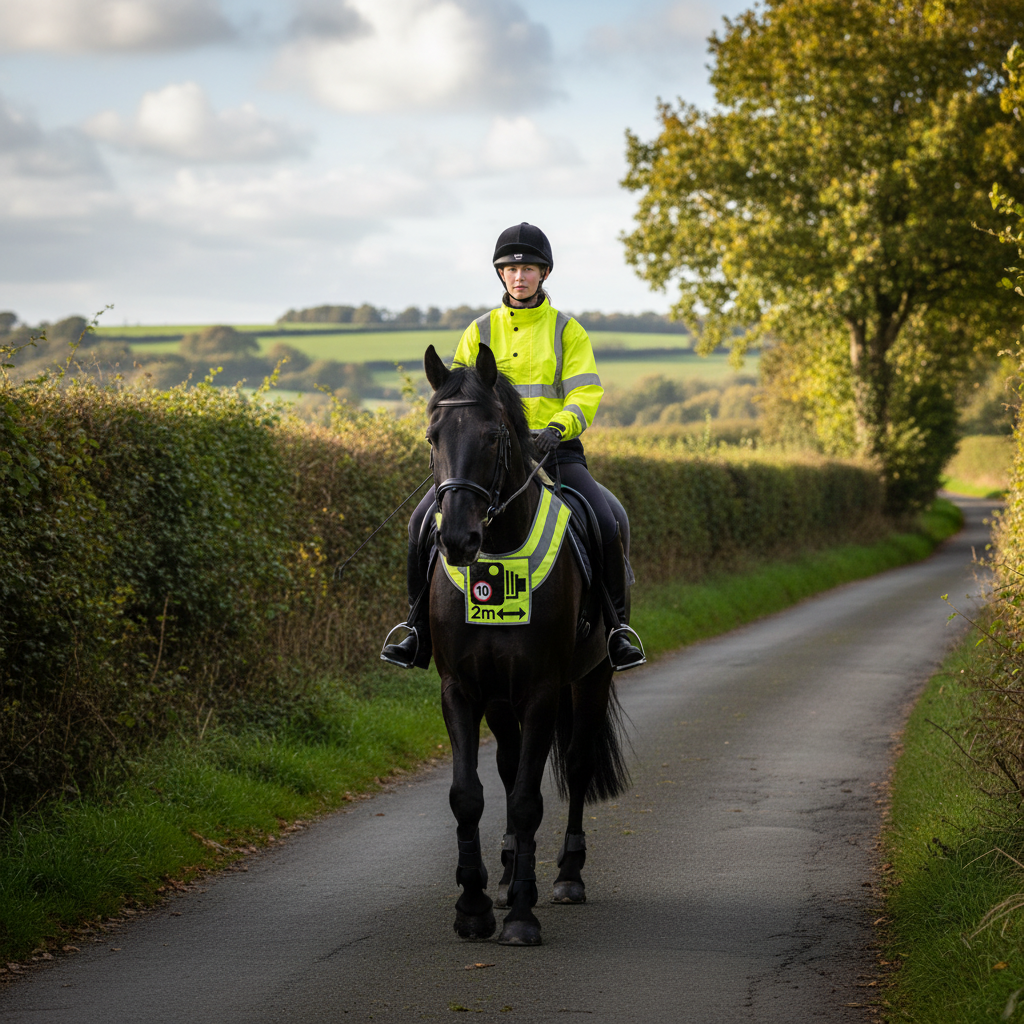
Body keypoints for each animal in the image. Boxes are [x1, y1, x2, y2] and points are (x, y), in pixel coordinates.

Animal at [423, 342, 631, 947]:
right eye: (432, 437)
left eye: (494, 436)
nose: (457, 539)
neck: (497, 548)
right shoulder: (461, 689)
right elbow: (469, 794)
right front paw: (474, 907)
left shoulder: (542, 689)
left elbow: (526, 799)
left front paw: (520, 916)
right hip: (500, 698)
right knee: (510, 763)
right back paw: (510, 871)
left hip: (591, 676)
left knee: (578, 765)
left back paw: (565, 877)